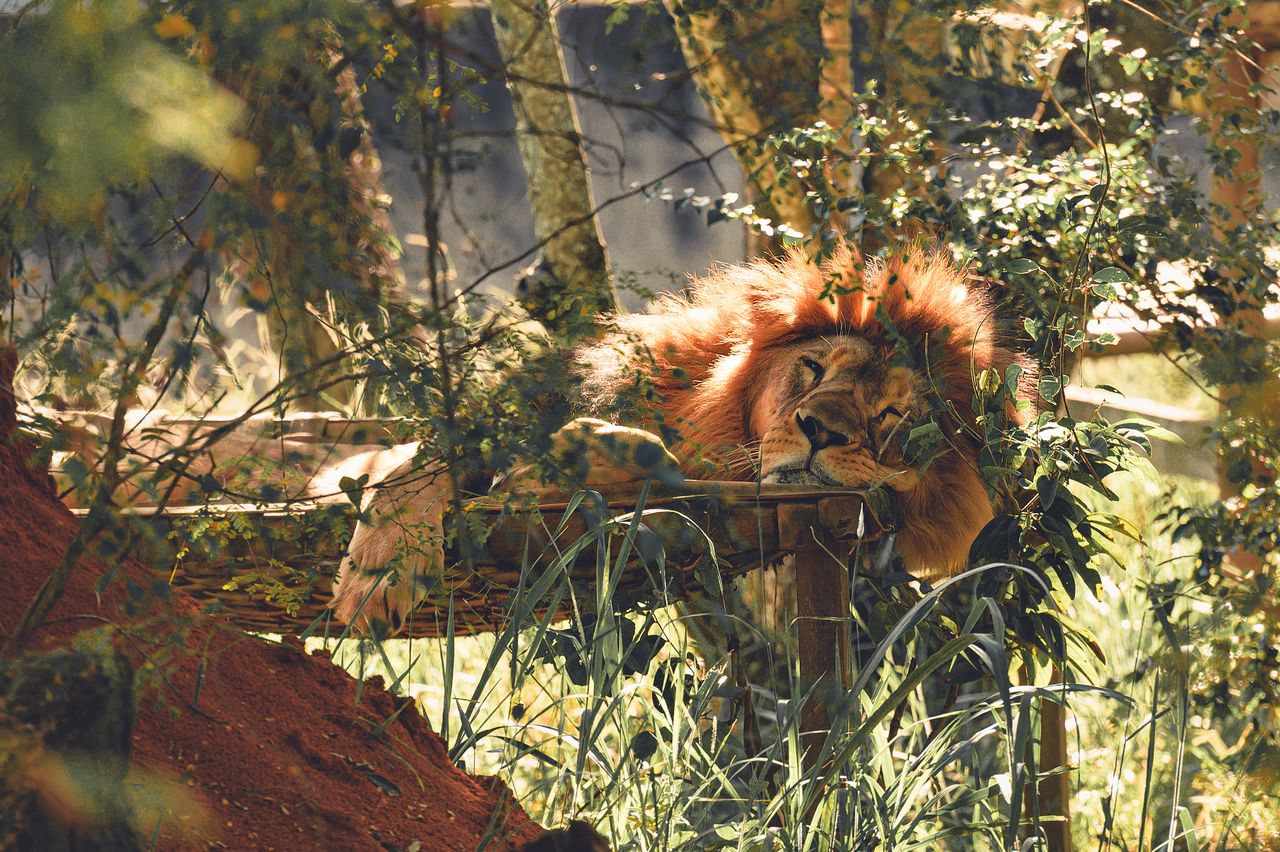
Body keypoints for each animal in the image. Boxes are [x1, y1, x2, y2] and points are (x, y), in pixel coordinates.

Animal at [330, 241, 1033, 633]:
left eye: (891, 414)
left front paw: (577, 457)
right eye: (811, 369)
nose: (820, 430)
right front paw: (375, 580)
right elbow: (411, 474)